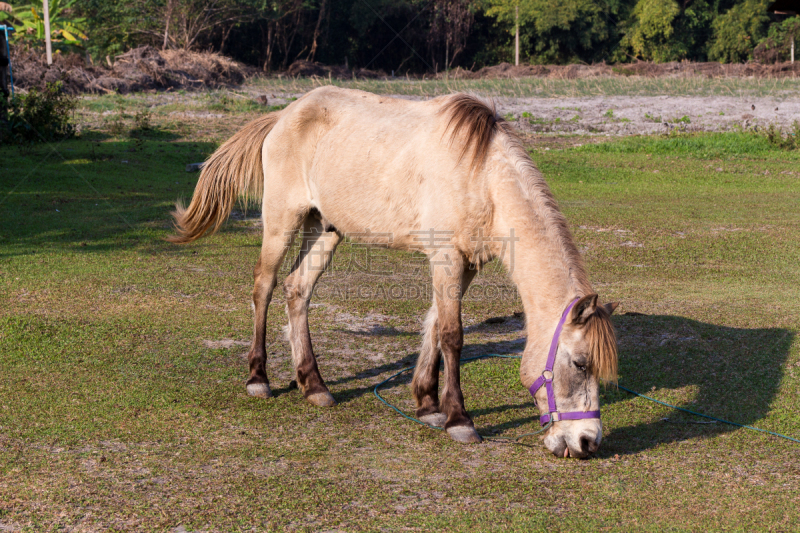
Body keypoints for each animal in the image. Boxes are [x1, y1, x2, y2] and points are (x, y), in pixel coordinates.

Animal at [170, 86, 620, 458]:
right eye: (580, 364)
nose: (587, 442)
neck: (482, 176)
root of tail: (285, 115)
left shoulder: (465, 264)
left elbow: (434, 325)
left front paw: (427, 405)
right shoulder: (446, 257)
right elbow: (452, 336)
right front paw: (459, 420)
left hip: (325, 229)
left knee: (297, 291)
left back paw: (314, 385)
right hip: (282, 220)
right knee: (263, 287)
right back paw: (258, 378)